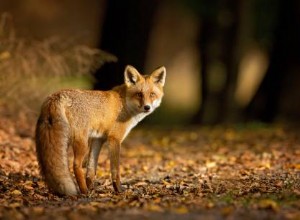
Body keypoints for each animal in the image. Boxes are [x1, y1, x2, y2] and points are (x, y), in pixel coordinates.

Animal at [35, 65, 166, 196]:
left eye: (152, 94)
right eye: (139, 94)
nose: (147, 107)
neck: (124, 104)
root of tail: (56, 95)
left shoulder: (98, 139)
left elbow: (91, 169)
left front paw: (92, 188)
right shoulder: (114, 139)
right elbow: (115, 170)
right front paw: (118, 189)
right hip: (81, 142)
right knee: (76, 165)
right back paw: (84, 191)